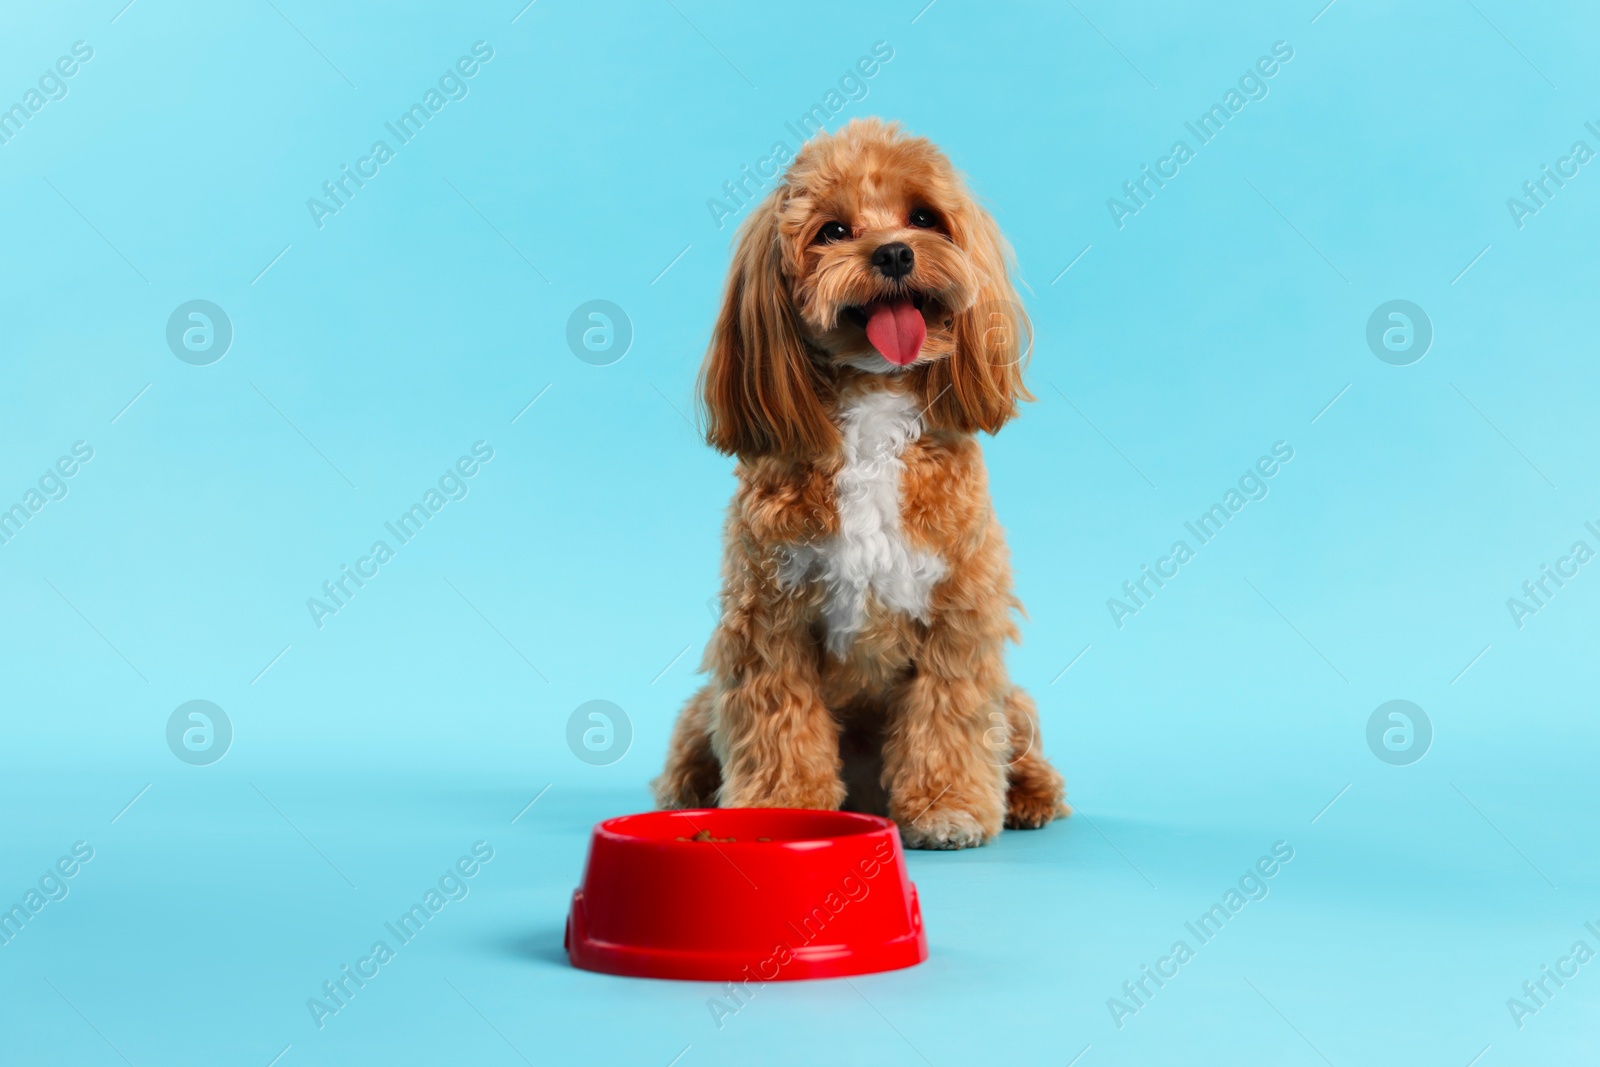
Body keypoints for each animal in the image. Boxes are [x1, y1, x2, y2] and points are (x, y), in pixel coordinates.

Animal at [656, 116, 1068, 851]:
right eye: (833, 230)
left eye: (925, 217)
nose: (896, 253)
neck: (874, 406)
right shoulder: (768, 622)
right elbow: (779, 724)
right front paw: (779, 806)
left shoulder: (959, 614)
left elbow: (948, 716)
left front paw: (946, 808)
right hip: (704, 703)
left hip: (1012, 701)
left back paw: (1028, 796)